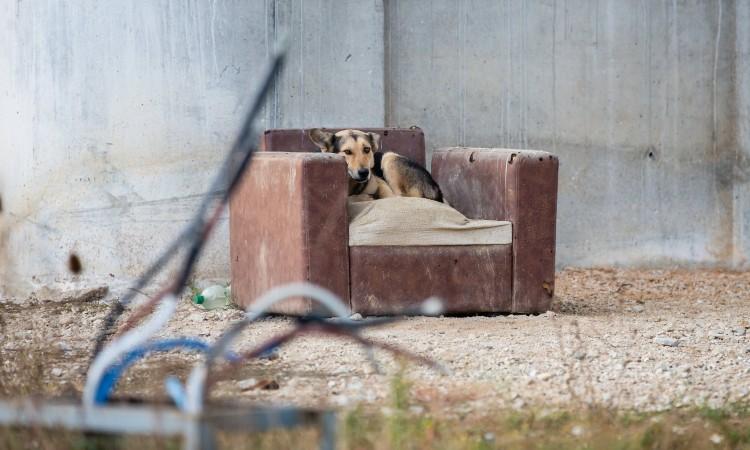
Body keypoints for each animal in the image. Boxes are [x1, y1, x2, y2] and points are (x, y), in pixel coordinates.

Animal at [308, 128, 444, 202]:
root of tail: (437, 189)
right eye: (347, 152)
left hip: (389, 157)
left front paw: (367, 197)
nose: (364, 173)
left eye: (367, 149)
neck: (351, 184)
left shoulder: (383, 186)